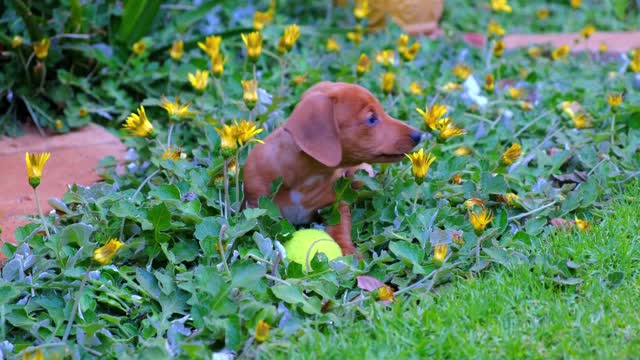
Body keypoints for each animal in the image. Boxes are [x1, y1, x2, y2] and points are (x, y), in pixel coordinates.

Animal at [242, 82, 422, 256]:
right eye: (371, 119)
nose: (419, 135)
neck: (306, 178)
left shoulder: (336, 206)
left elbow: (340, 228)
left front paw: (347, 251)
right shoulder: (255, 207)